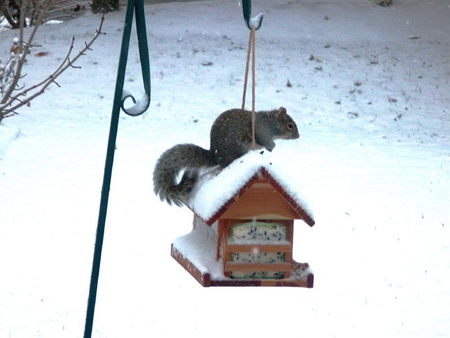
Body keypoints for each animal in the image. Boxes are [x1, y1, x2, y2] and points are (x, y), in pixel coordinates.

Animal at [154, 107, 298, 206]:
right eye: (290, 125)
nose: (298, 136)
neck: (271, 122)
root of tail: (215, 156)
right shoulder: (262, 130)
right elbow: (266, 140)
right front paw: (272, 146)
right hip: (239, 148)